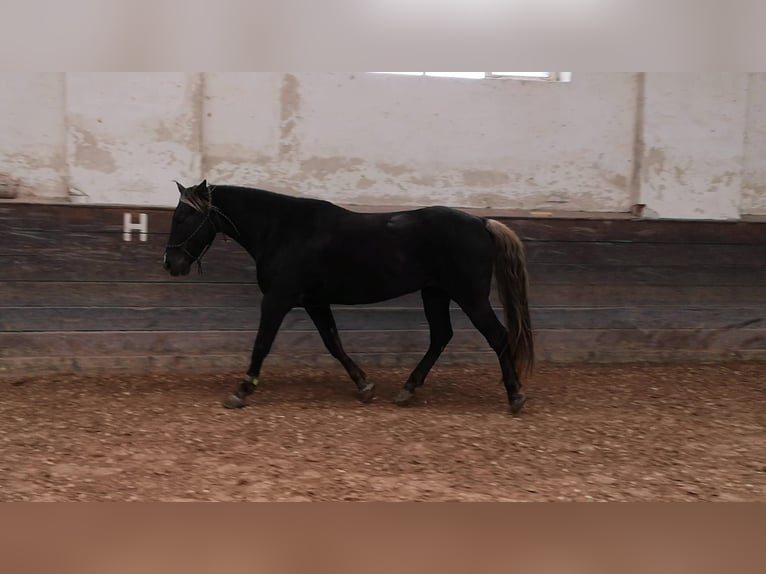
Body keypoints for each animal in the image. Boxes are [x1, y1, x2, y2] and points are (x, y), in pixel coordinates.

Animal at [162, 180, 534, 414]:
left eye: (184, 217)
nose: (170, 263)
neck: (282, 230)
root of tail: (483, 222)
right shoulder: (314, 301)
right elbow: (333, 343)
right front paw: (364, 385)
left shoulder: (279, 299)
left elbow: (262, 343)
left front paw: (241, 391)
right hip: (435, 293)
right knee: (441, 335)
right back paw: (407, 390)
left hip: (470, 297)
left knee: (498, 337)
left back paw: (515, 395)